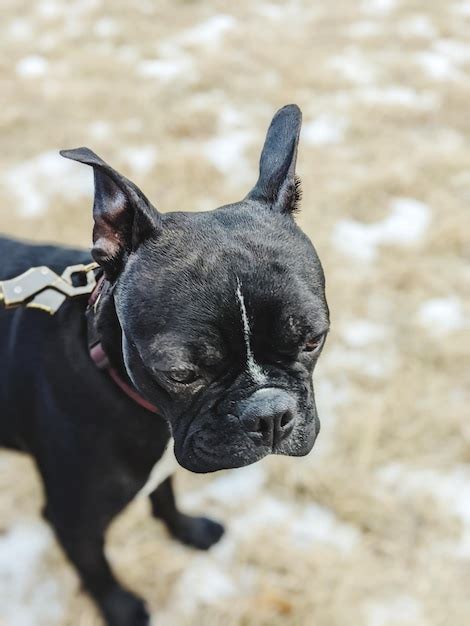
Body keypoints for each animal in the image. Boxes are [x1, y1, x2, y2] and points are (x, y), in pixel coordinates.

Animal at [0, 105, 328, 620]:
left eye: (313, 339)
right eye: (181, 374)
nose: (270, 415)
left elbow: (165, 493)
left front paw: (186, 530)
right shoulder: (73, 520)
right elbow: (96, 567)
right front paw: (121, 608)